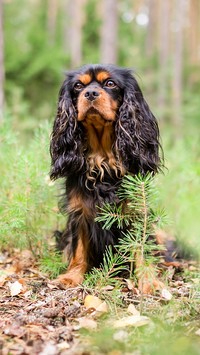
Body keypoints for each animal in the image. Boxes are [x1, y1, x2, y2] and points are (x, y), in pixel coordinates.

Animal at [50, 63, 162, 286]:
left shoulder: (136, 213)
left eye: (110, 83)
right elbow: (79, 248)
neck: (102, 157)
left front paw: (149, 281)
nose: (91, 93)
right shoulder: (79, 211)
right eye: (78, 86)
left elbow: (141, 246)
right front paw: (72, 276)